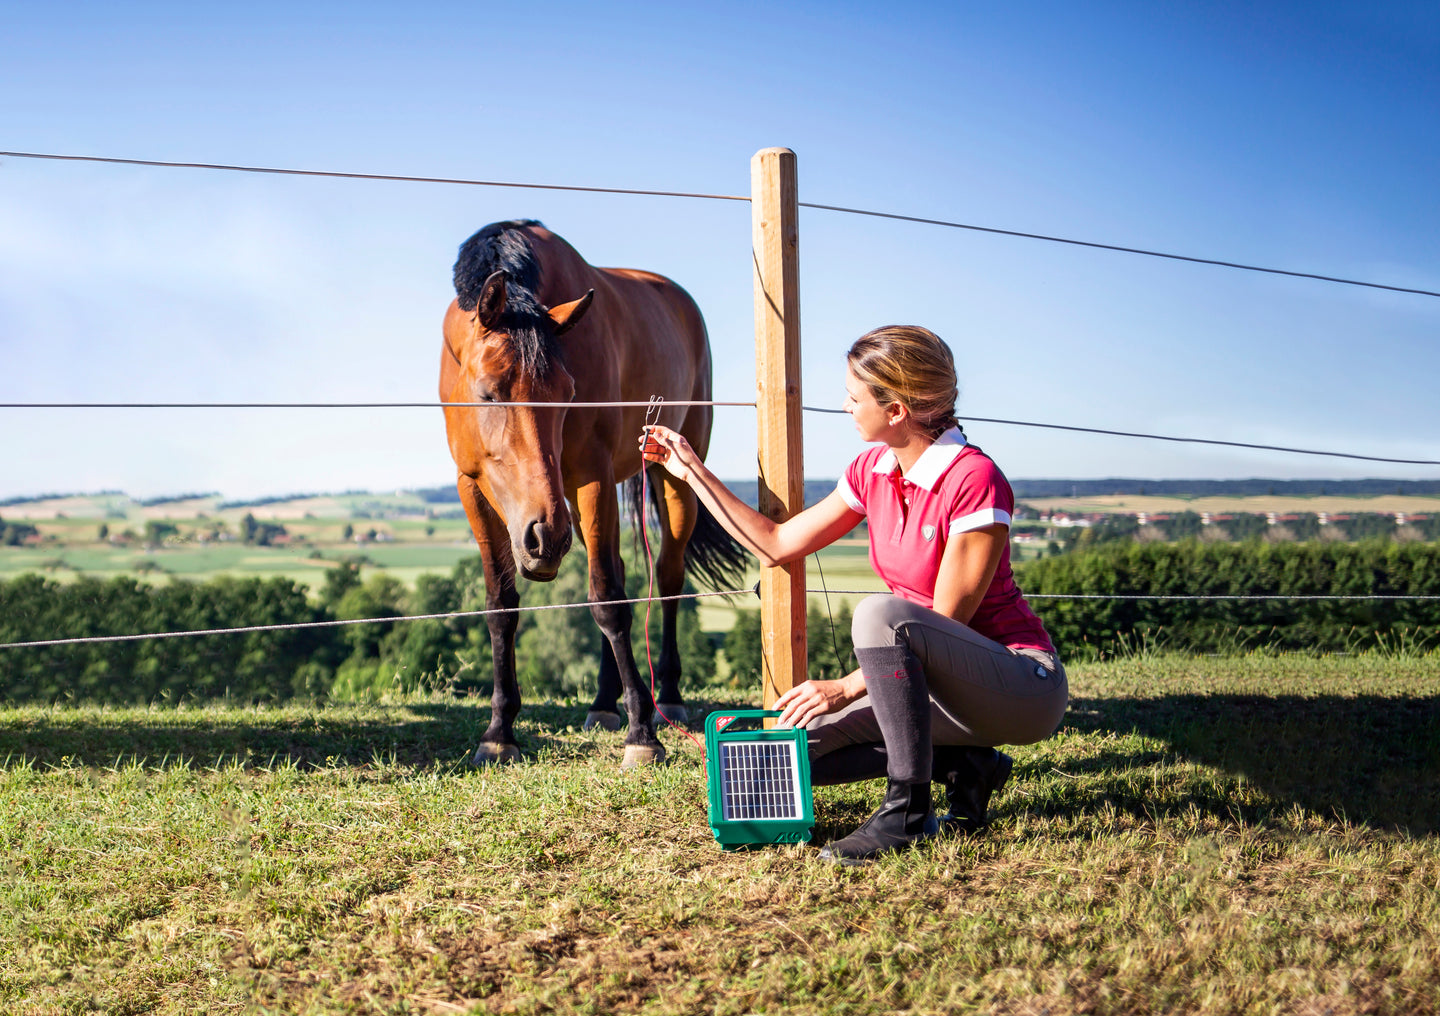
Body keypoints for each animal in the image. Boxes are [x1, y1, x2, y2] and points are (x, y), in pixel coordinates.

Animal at [440, 217, 748, 765]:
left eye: (568, 393)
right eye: (487, 393)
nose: (542, 537)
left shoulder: (592, 476)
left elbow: (607, 598)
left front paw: (642, 733)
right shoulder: (471, 487)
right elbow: (501, 606)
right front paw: (499, 732)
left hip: (672, 478)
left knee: (668, 575)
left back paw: (667, 696)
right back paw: (606, 702)